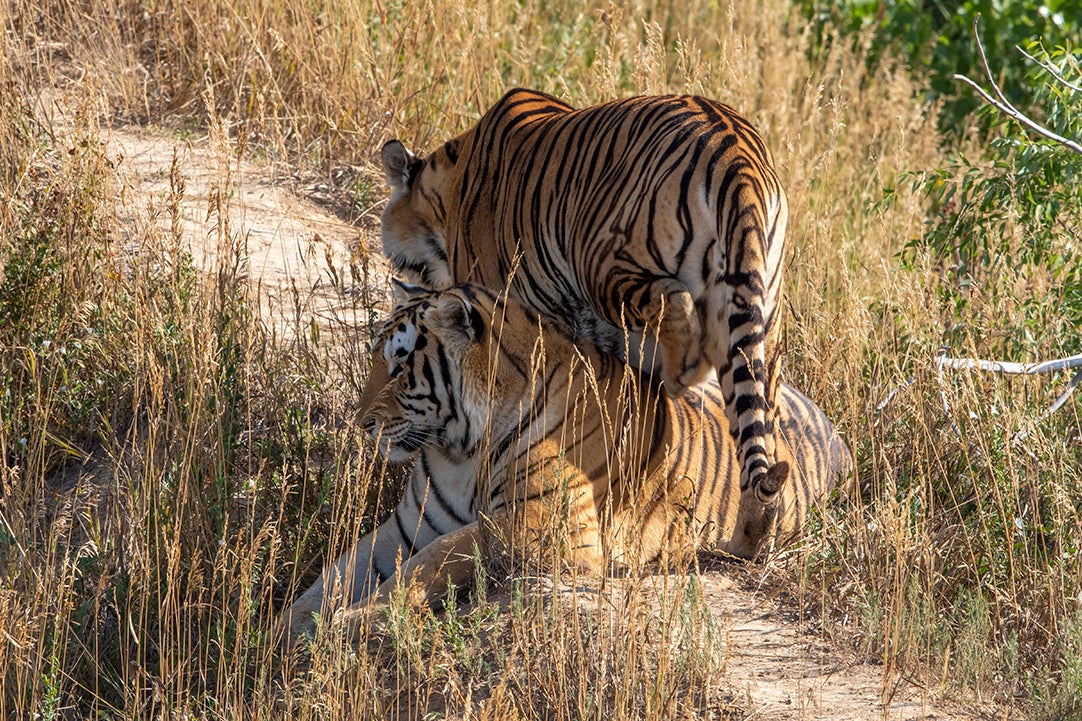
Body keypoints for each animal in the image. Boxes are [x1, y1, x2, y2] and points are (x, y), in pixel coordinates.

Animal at [285, 281, 852, 636]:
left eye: (401, 368)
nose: (362, 423)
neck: (460, 449)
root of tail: (834, 432)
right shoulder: (406, 527)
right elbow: (334, 575)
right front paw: (280, 633)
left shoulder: (542, 529)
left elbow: (440, 556)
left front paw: (355, 622)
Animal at [378, 88, 787, 549]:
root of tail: (738, 155)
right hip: (761, 319)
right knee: (759, 423)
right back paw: (750, 535)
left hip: (603, 264)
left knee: (675, 309)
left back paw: (680, 377)